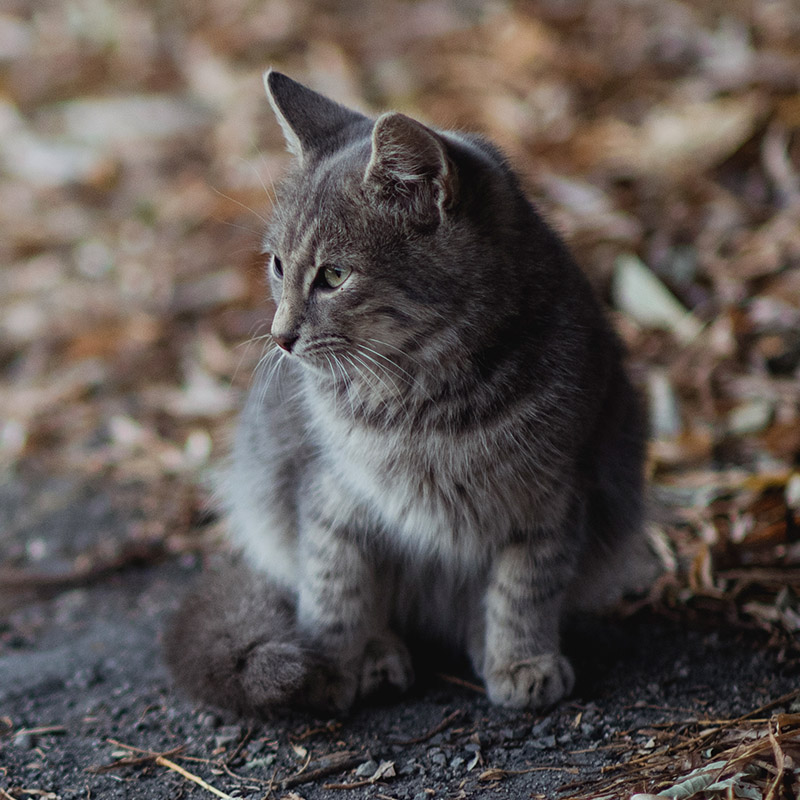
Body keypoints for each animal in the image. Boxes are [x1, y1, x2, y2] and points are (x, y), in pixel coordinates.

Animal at [166, 72, 652, 716]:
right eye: (276, 265)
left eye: (334, 276)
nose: (280, 335)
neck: (421, 399)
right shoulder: (332, 495)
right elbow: (336, 590)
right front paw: (336, 664)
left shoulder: (554, 500)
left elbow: (524, 588)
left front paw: (520, 659)